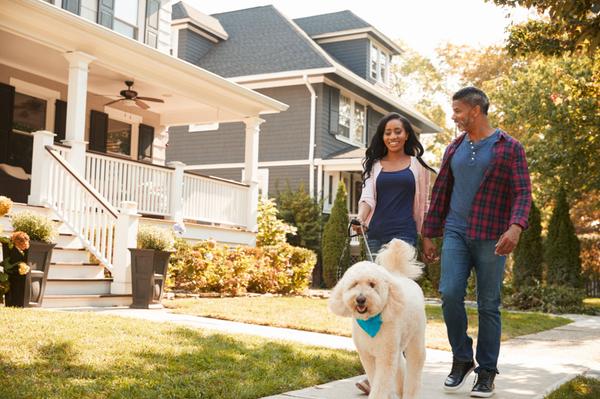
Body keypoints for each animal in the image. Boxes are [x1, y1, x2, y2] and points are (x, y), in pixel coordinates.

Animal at [328, 239, 426, 398]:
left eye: (372, 284)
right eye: (354, 284)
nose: (360, 299)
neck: (370, 321)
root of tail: (399, 275)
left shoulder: (385, 356)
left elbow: (381, 384)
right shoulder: (367, 355)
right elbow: (375, 379)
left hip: (415, 338)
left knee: (415, 365)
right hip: (397, 346)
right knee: (400, 365)